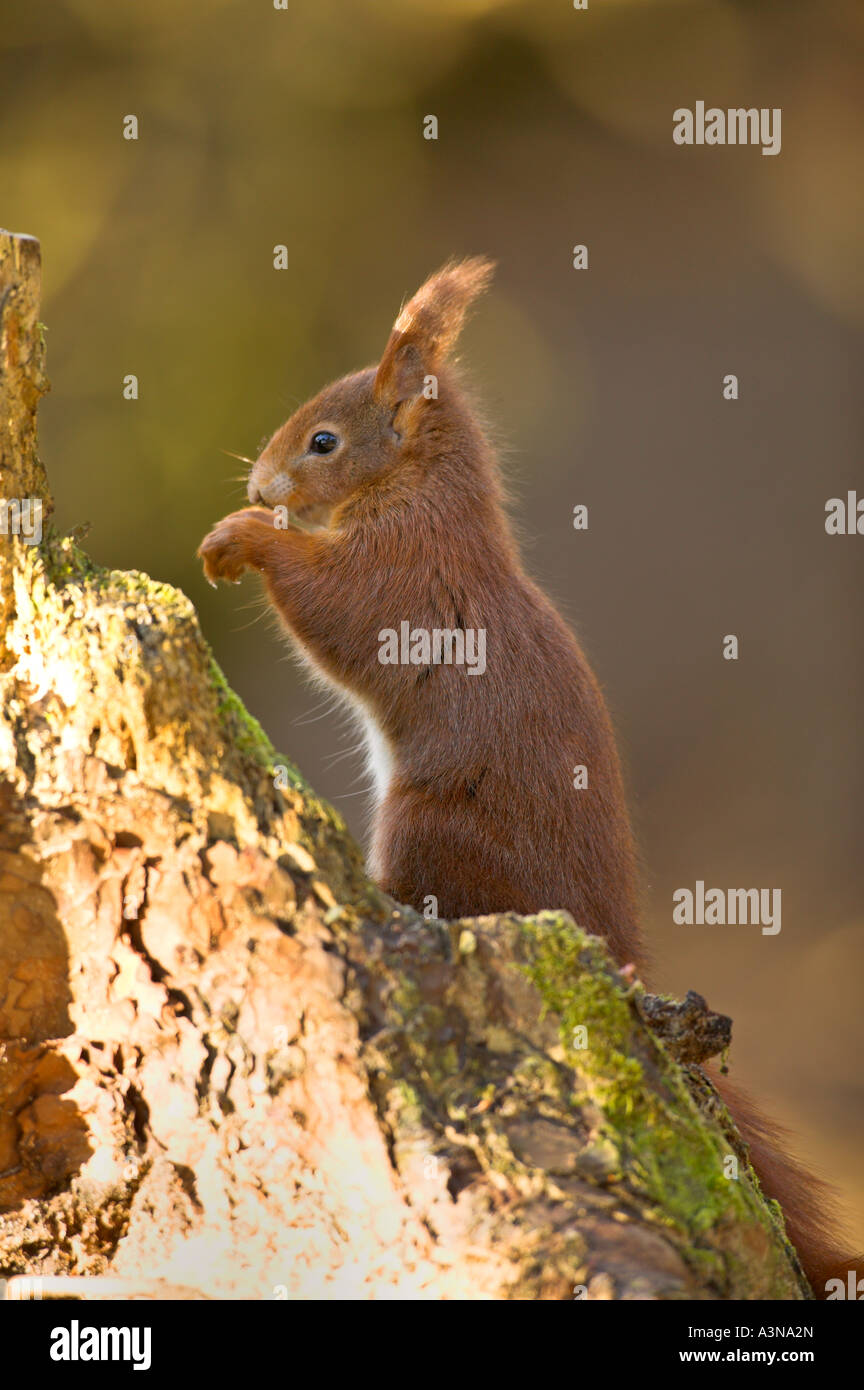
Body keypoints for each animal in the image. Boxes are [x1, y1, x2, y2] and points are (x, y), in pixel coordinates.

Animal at [201, 255, 861, 1295]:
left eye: (323, 440)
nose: (262, 481)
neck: (416, 494)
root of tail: (614, 945)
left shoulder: (400, 581)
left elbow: (328, 606)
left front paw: (242, 536)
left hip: (430, 825)